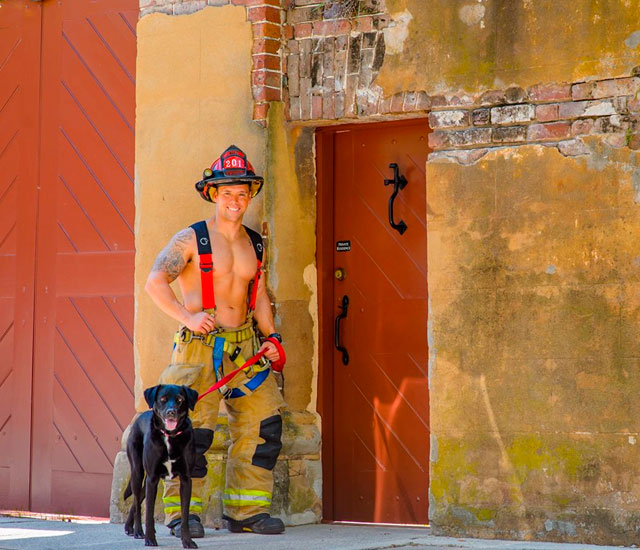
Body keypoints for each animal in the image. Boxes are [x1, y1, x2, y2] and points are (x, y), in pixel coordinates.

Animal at [122, 386, 198, 548]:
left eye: (180, 400)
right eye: (163, 399)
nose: (171, 412)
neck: (170, 436)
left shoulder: (185, 479)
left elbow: (185, 515)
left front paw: (187, 541)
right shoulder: (152, 478)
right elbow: (149, 512)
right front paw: (150, 539)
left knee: (138, 500)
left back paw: (129, 526)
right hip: (138, 472)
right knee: (137, 502)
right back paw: (138, 531)